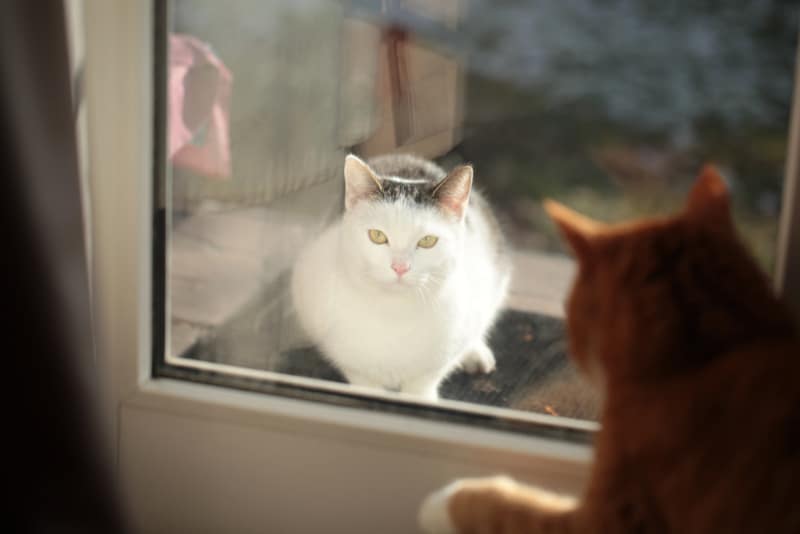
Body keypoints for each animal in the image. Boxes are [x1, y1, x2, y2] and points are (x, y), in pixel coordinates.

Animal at [290, 153, 510, 400]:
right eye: (377, 236)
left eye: (427, 241)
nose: (400, 267)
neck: (394, 311)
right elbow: (363, 380)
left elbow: (423, 384)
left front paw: (422, 398)